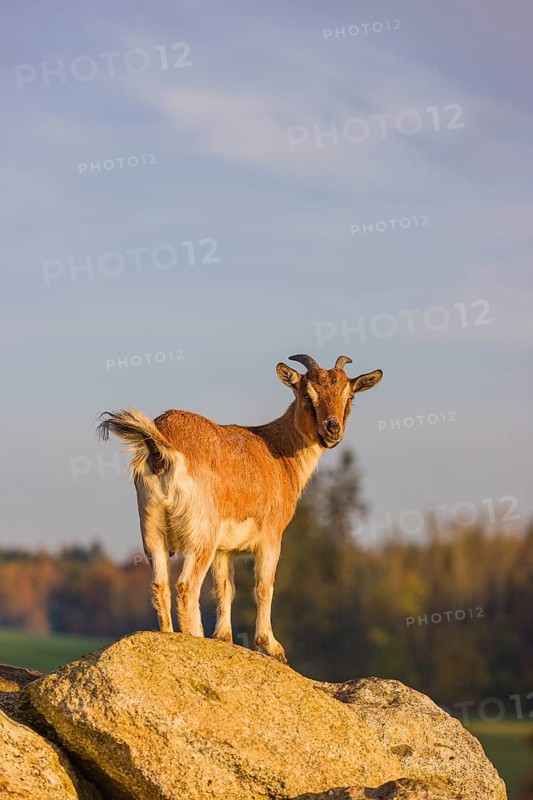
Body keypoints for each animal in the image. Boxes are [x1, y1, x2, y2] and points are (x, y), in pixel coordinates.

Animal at [97, 354, 382, 662]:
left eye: (349, 396)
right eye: (307, 394)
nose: (332, 429)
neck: (277, 452)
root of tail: (162, 446)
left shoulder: (225, 549)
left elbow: (225, 587)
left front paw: (224, 637)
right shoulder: (270, 536)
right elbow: (264, 586)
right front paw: (272, 646)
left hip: (152, 529)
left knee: (159, 584)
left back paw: (169, 637)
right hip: (201, 535)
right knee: (187, 586)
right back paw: (195, 639)